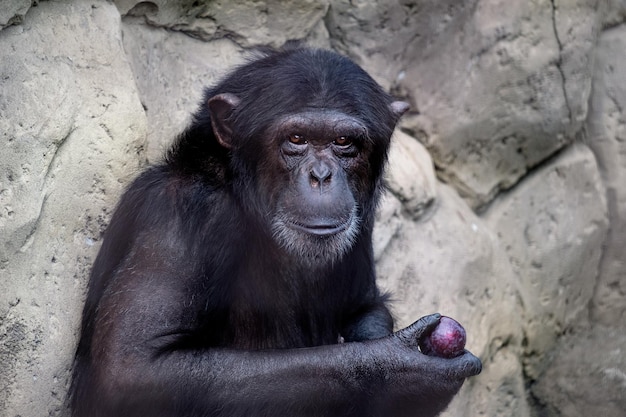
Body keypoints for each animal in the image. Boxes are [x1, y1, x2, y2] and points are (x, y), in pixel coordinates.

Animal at [68, 48, 480, 416]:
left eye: (344, 142)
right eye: (296, 139)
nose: (321, 176)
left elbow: (365, 306)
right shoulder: (180, 214)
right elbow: (133, 370)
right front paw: (399, 375)